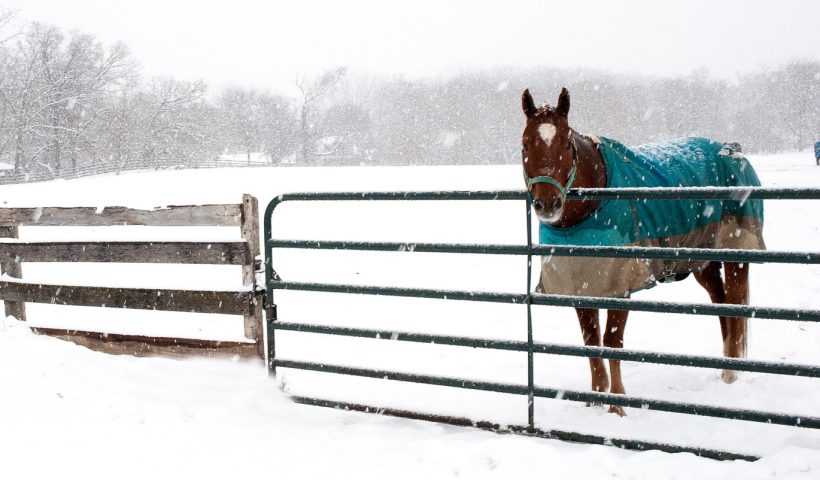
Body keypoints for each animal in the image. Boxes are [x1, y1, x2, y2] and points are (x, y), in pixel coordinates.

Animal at [524, 88, 764, 414]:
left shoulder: (621, 285)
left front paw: (617, 406)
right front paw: (595, 401)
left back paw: (730, 373)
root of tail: (732, 151)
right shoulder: (580, 283)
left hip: (736, 254)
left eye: (566, 143)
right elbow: (591, 341)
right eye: (525, 143)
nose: (547, 204)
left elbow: (612, 341)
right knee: (721, 303)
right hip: (704, 262)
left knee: (735, 306)